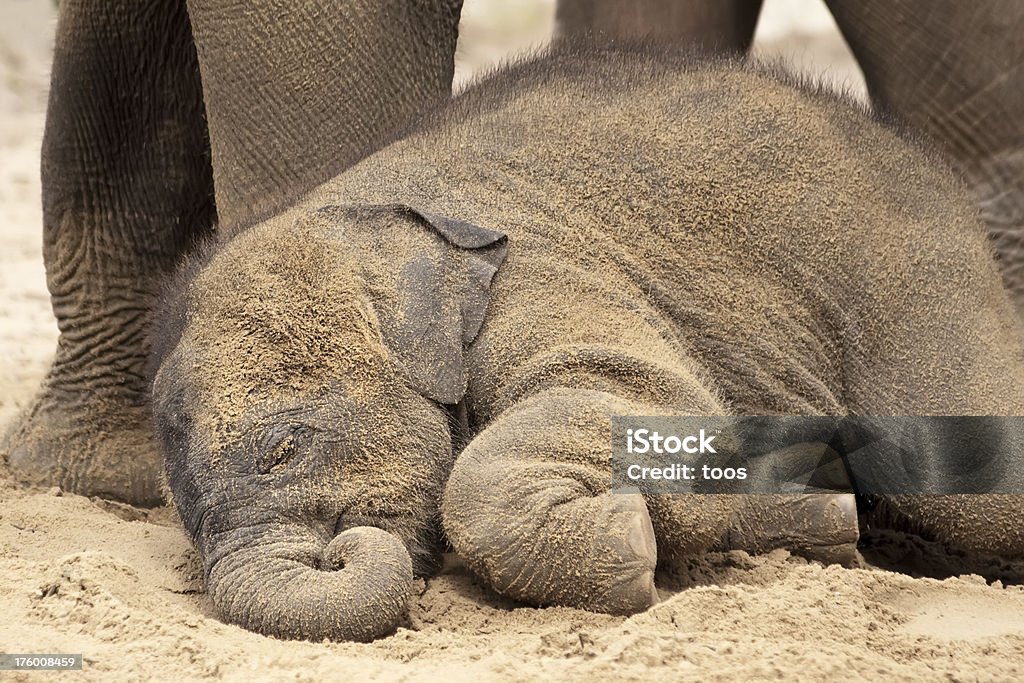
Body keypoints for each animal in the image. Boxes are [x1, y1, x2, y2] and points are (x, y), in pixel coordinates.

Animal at [148, 45, 1024, 643]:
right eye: (183, 518)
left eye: (283, 450)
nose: (338, 553)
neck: (347, 212)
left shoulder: (544, 275)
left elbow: (654, 398)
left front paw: (628, 545)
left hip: (918, 290)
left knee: (964, 479)